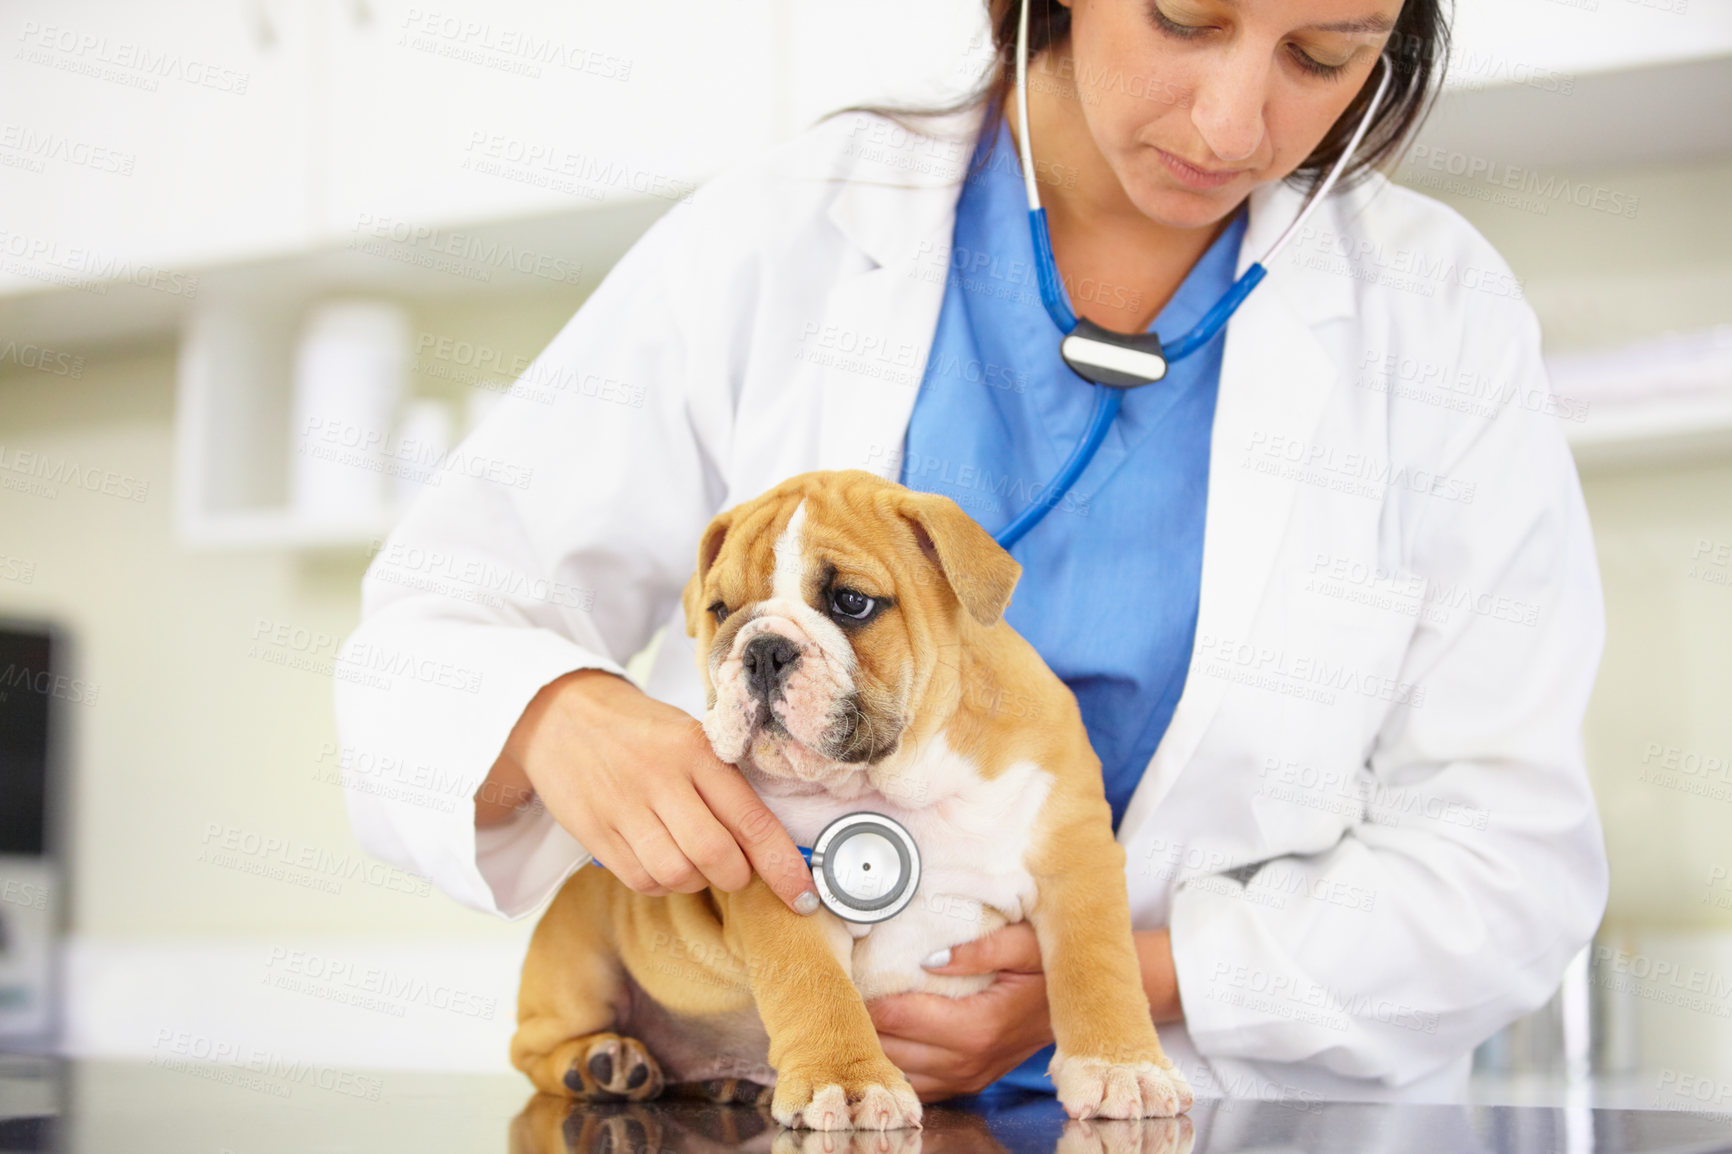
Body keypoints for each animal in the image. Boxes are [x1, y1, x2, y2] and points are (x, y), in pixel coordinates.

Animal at [505, 464, 1198, 1122]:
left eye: (852, 602)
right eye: (721, 610)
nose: (763, 649)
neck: (898, 778)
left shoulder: (1076, 857)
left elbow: (1099, 967)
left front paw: (1122, 1067)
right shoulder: (780, 885)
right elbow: (815, 987)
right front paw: (848, 1081)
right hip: (577, 957)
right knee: (533, 1048)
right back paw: (600, 1064)